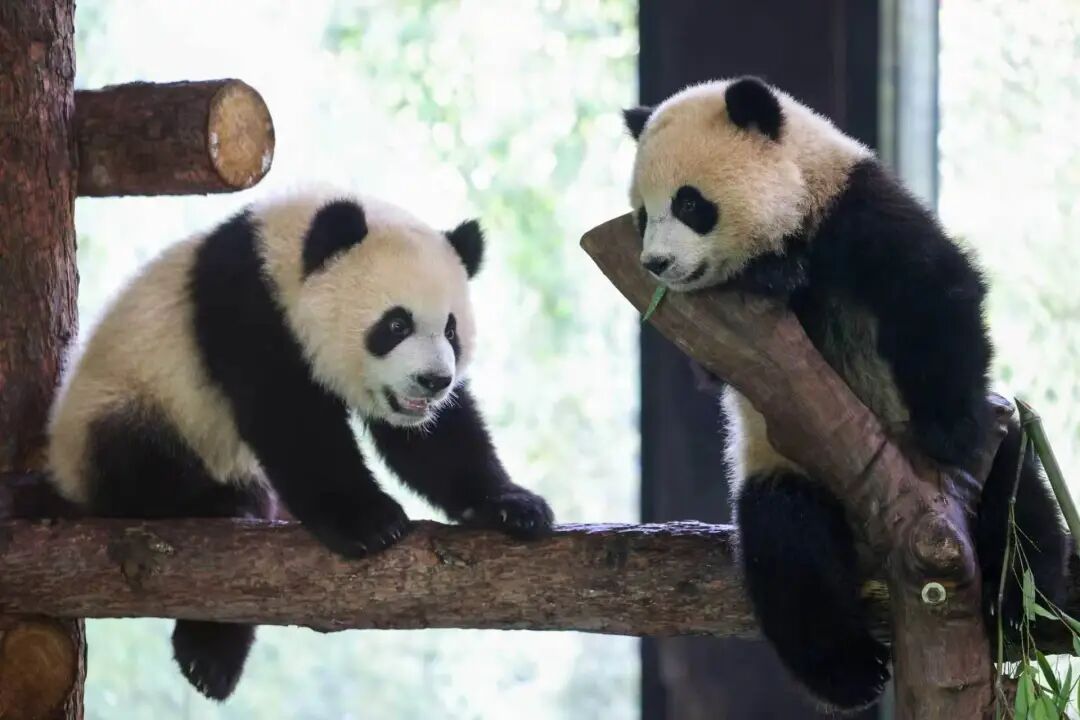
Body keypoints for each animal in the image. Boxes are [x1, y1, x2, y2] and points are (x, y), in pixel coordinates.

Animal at [46, 190, 554, 701]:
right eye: (395, 325)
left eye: (451, 330)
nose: (433, 381)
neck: (280, 252)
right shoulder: (246, 308)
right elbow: (292, 421)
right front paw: (369, 521)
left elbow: (436, 442)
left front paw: (511, 505)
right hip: (126, 405)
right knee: (136, 464)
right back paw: (211, 506)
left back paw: (210, 658)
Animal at [623, 77, 1067, 711]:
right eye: (641, 216)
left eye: (688, 204)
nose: (656, 263)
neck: (799, 211)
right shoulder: (719, 321)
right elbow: (718, 371)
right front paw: (777, 276)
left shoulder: (860, 212)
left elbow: (938, 293)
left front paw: (950, 431)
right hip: (788, 470)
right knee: (787, 546)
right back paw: (854, 672)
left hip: (994, 462)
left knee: (1019, 500)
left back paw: (1021, 601)